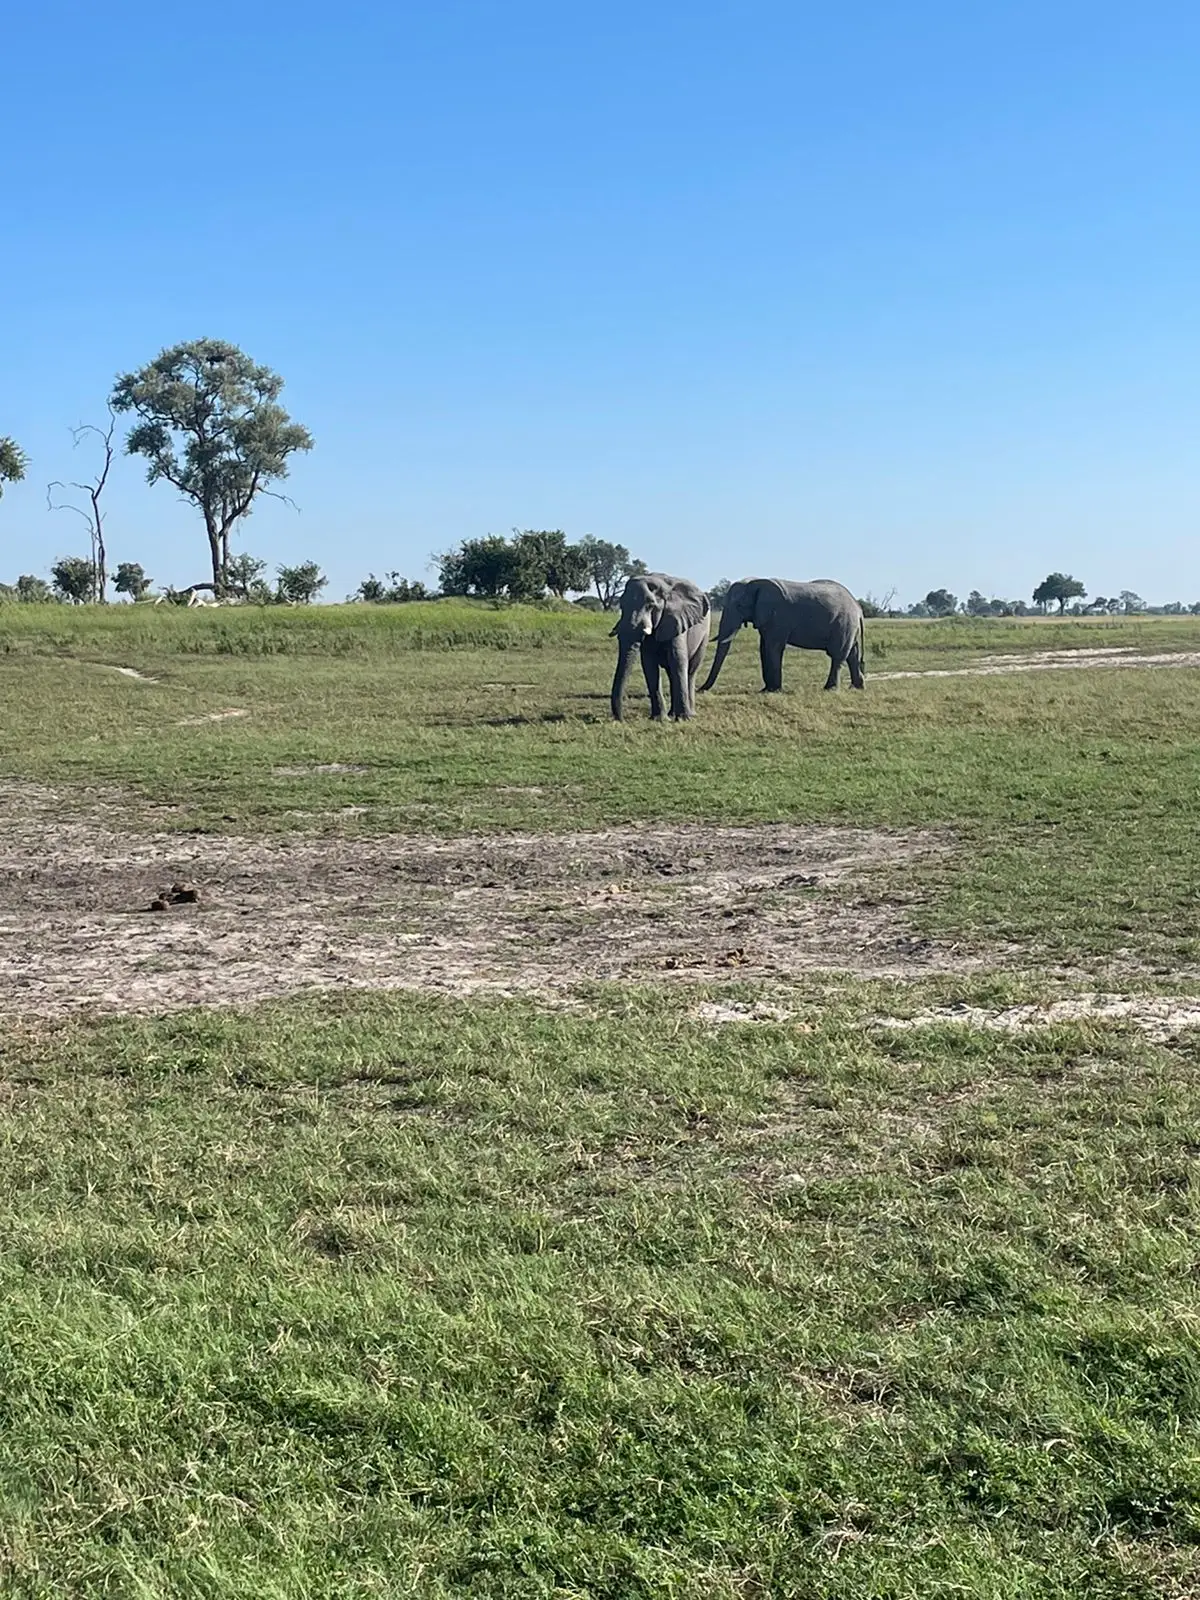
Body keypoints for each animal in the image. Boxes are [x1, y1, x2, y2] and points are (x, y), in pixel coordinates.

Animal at [611, 572, 713, 723]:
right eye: (622, 605)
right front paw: (659, 719)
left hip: (704, 635)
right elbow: (649, 665)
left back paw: (691, 714)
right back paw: (672, 714)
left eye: (650, 605)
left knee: (690, 671)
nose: (621, 720)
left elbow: (677, 660)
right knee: (672, 675)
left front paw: (683, 719)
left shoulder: (677, 620)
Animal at [700, 582, 870, 694]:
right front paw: (765, 690)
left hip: (843, 624)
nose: (699, 689)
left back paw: (830, 689)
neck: (756, 582)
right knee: (852, 654)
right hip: (849, 627)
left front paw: (774, 691)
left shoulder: (778, 616)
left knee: (837, 655)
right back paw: (857, 687)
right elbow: (764, 648)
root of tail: (858, 608)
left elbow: (773, 647)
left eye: (740, 606)